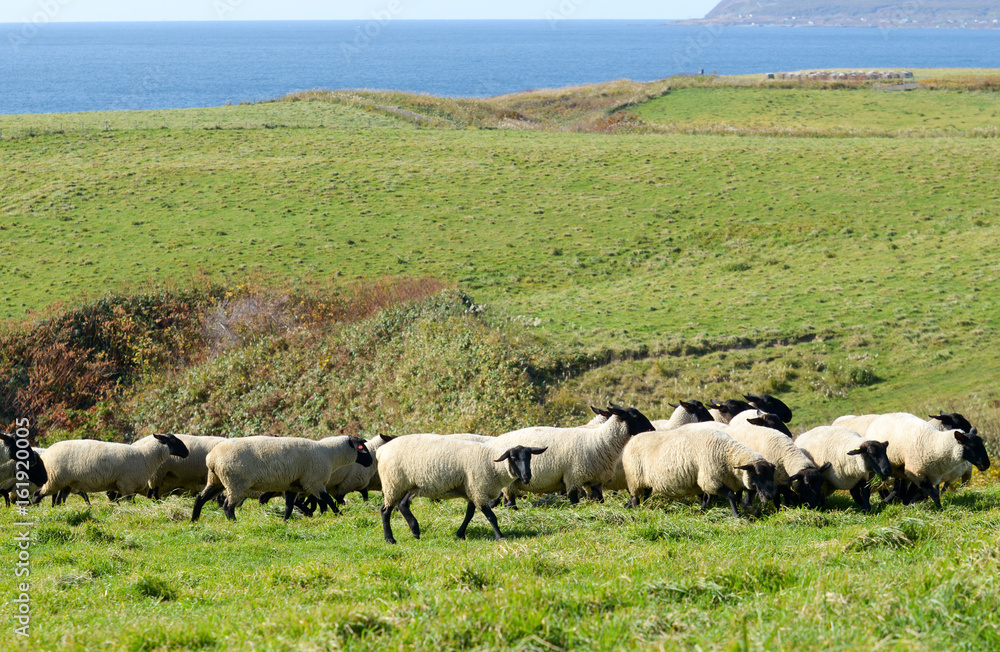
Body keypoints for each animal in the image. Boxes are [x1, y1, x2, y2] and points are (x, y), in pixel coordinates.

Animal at [33, 436, 189, 506]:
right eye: (174, 441)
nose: (187, 452)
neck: (145, 456)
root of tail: (45, 454)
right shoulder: (127, 485)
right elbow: (129, 502)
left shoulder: (122, 486)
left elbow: (119, 500)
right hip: (54, 480)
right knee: (37, 494)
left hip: (66, 483)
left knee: (58, 500)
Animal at [191, 436, 372, 524]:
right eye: (361, 447)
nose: (370, 462)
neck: (330, 454)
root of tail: (212, 458)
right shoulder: (314, 482)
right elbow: (327, 500)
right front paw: (338, 514)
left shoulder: (293, 486)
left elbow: (289, 506)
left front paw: (285, 521)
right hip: (235, 483)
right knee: (228, 506)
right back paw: (234, 522)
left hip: (216, 480)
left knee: (200, 499)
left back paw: (194, 520)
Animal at [376, 432, 548, 544]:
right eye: (513, 457)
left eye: (530, 457)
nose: (527, 476)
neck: (493, 464)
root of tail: (381, 450)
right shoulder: (478, 489)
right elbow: (491, 516)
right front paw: (500, 537)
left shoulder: (472, 489)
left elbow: (469, 514)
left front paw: (460, 534)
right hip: (393, 483)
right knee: (385, 511)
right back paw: (390, 539)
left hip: (408, 485)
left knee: (401, 505)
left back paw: (415, 531)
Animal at [620, 422, 776, 520]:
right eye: (758, 474)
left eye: (771, 475)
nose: (771, 495)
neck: (726, 454)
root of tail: (631, 440)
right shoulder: (710, 480)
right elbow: (730, 495)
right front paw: (736, 515)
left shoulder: (710, 481)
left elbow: (709, 498)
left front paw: (703, 511)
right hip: (634, 479)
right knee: (635, 498)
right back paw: (637, 510)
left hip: (645, 482)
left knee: (644, 495)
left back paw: (640, 507)